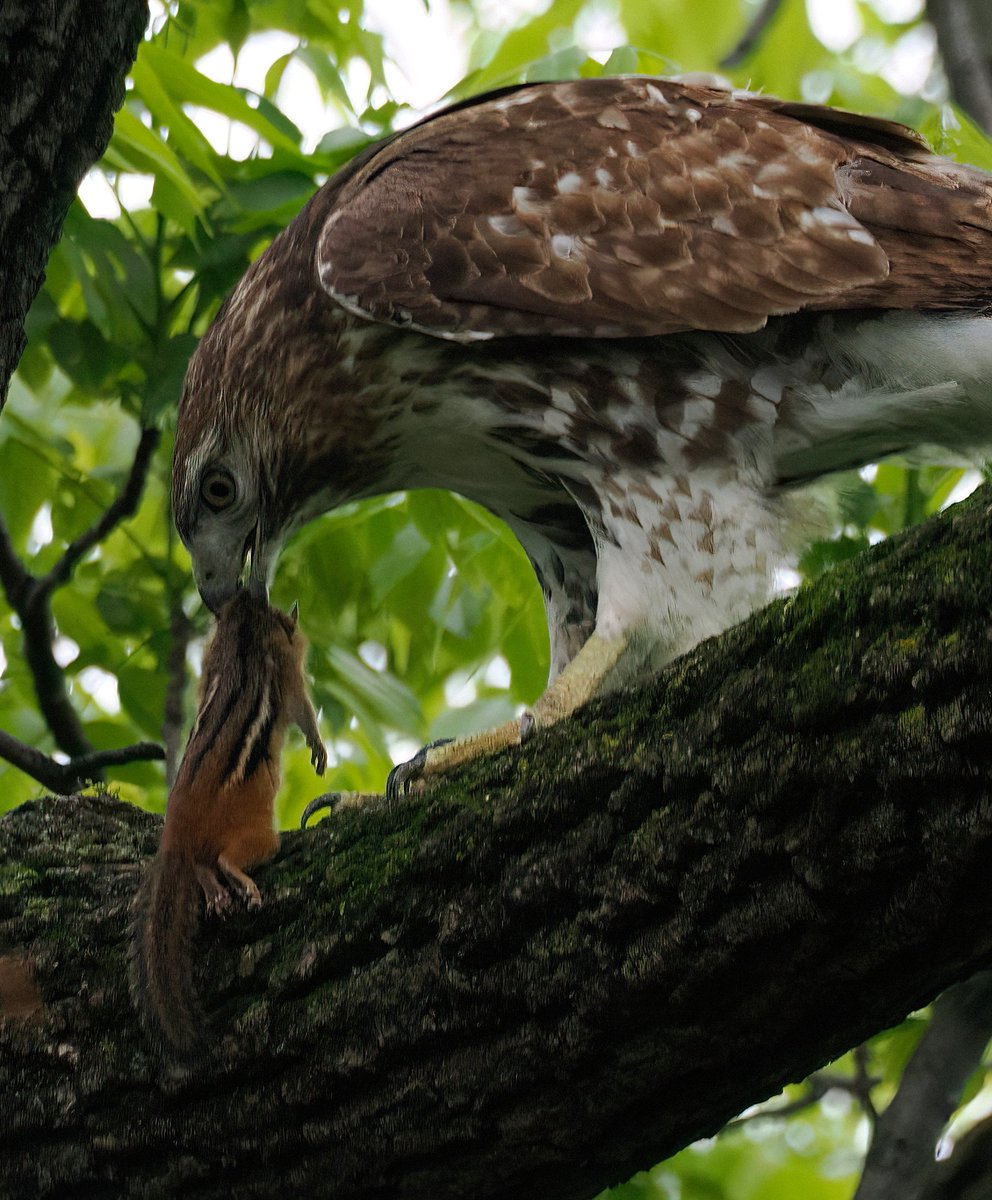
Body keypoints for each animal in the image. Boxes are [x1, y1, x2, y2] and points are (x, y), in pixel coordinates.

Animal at [129, 588, 326, 1064]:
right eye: (282, 616)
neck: (244, 631)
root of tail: (175, 837)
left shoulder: (211, 661)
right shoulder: (288, 666)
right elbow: (302, 707)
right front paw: (318, 748)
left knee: (203, 866)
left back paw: (216, 894)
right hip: (261, 838)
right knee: (225, 859)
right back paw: (241, 885)